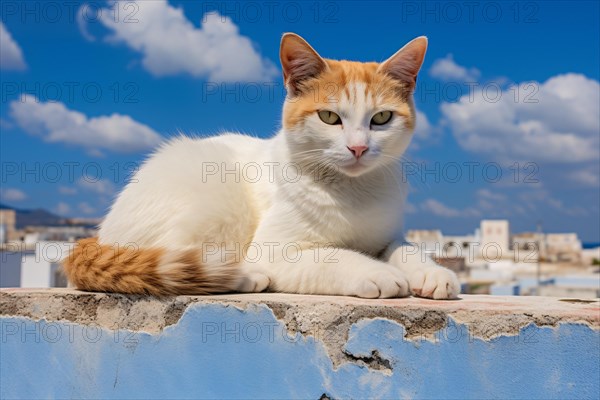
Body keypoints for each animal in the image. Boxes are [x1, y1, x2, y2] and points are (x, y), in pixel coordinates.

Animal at [64, 33, 460, 300]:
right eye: (329, 117)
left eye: (381, 118)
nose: (358, 148)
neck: (354, 190)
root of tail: (102, 235)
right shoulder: (277, 251)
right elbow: (331, 256)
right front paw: (377, 272)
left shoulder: (387, 233)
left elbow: (404, 247)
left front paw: (430, 272)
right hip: (214, 200)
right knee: (180, 260)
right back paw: (243, 276)